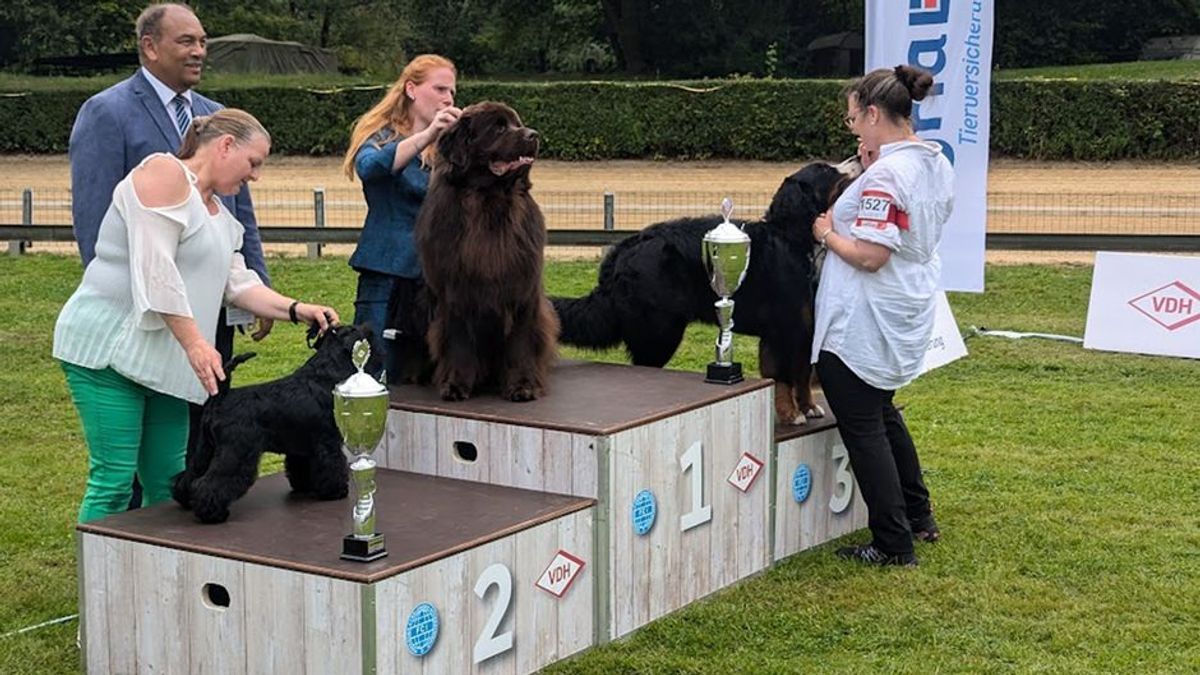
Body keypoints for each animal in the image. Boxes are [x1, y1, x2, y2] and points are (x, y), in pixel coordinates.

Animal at [412, 100, 556, 398]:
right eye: (498, 128)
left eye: (517, 123)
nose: (533, 134)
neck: (490, 201)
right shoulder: (454, 292)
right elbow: (459, 344)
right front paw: (455, 385)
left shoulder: (522, 288)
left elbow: (520, 344)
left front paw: (523, 386)